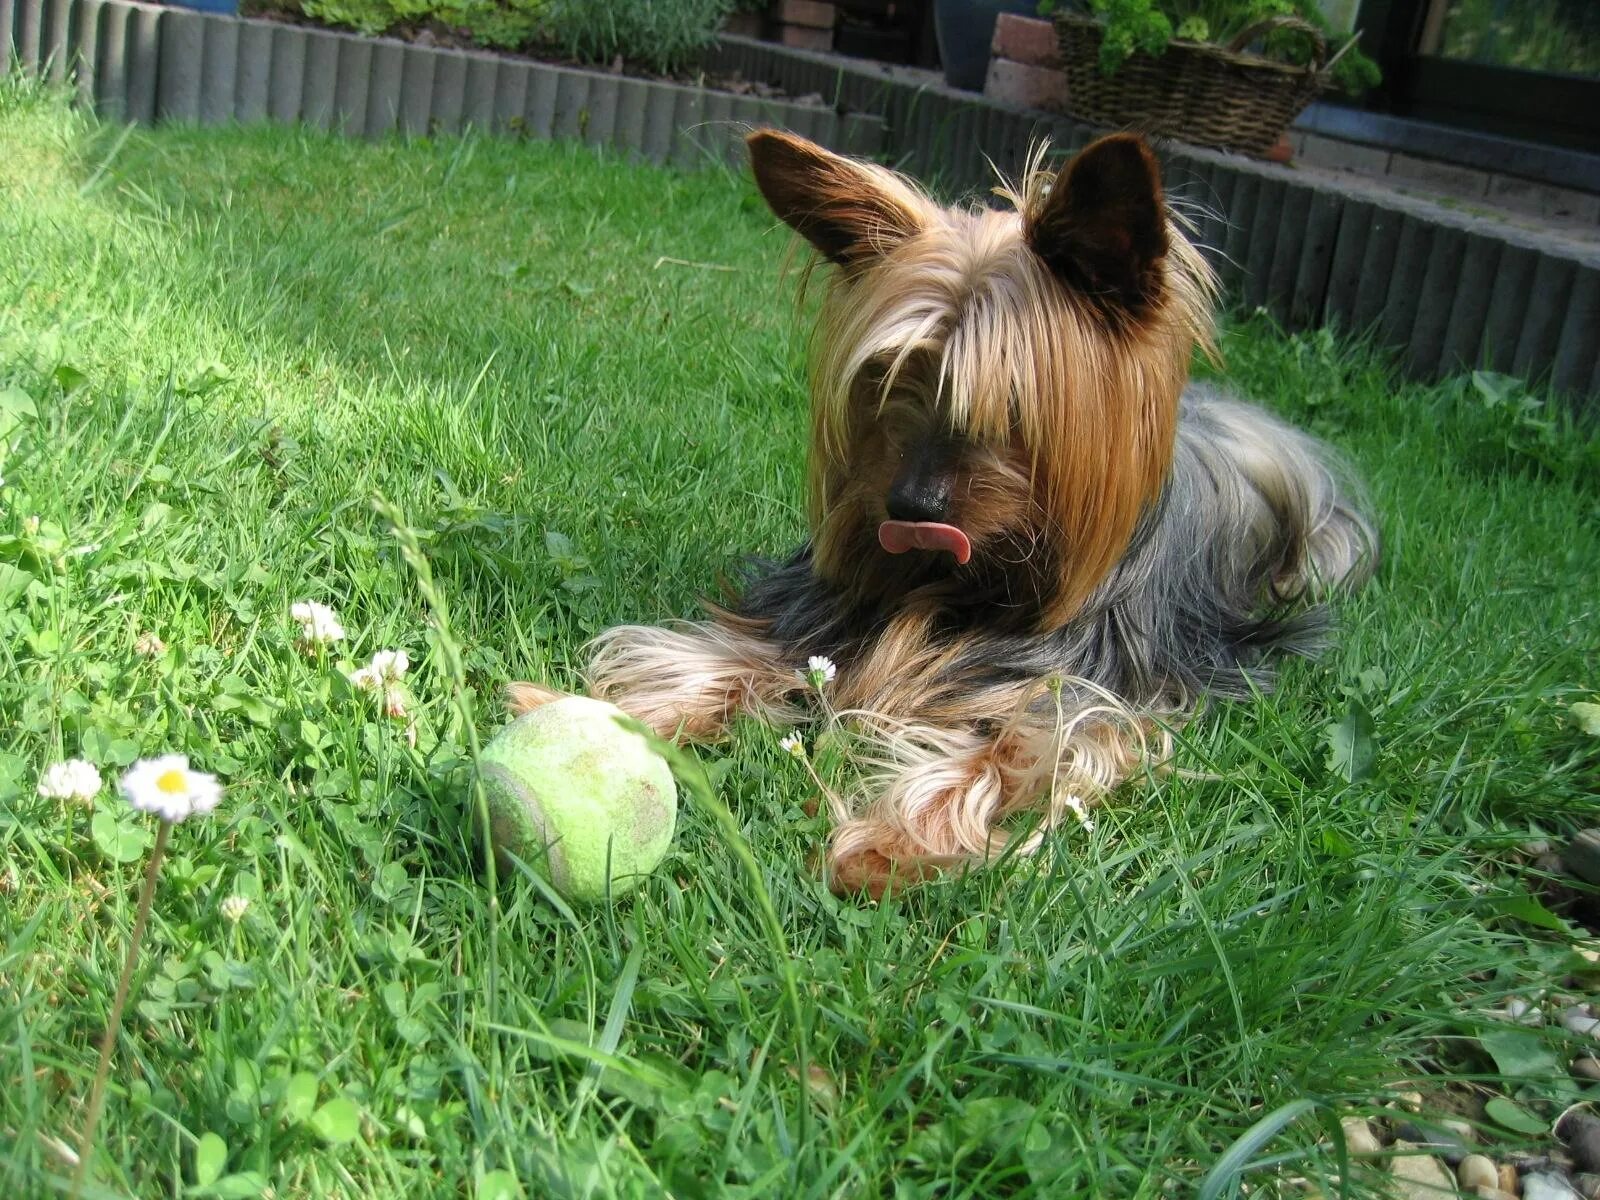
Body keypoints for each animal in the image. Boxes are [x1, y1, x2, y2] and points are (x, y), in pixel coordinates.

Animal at [508, 131, 1376, 902]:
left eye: (1017, 406)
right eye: (893, 375)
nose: (909, 506)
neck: (966, 584)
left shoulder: (1095, 695)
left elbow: (1026, 750)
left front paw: (890, 844)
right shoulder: (814, 617)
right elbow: (720, 656)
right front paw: (586, 718)